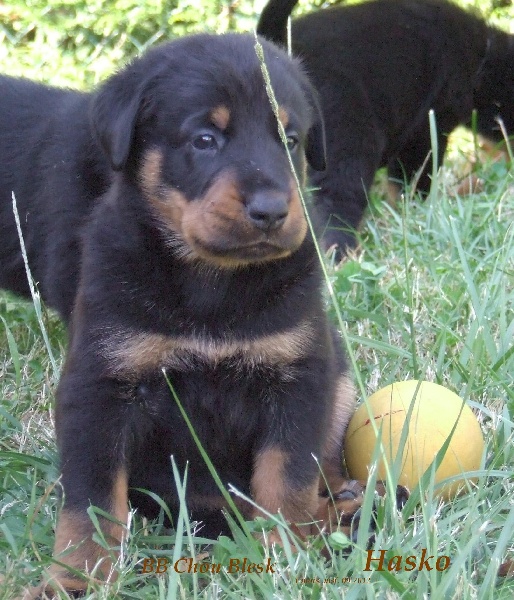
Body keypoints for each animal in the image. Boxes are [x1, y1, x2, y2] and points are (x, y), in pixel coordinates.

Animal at [0, 34, 388, 596]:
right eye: (205, 139)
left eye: (290, 140)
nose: (272, 209)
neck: (212, 284)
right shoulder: (102, 384)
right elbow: (92, 500)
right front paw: (77, 577)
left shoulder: (299, 375)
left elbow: (288, 475)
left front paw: (284, 552)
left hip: (337, 381)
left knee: (325, 465)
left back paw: (348, 504)